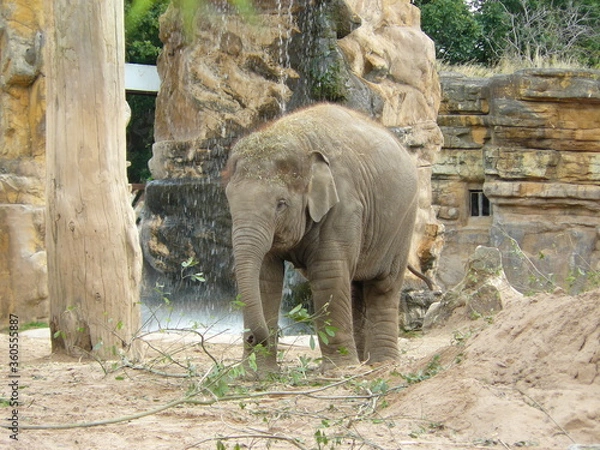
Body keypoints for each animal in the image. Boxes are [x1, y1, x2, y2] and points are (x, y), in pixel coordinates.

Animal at [224, 104, 418, 372]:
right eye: (229, 201)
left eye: (281, 204)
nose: (253, 337)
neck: (297, 139)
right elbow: (265, 279)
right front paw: (257, 374)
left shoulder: (344, 205)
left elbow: (329, 273)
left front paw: (338, 371)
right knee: (355, 285)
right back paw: (362, 361)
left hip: (402, 223)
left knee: (383, 285)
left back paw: (381, 364)